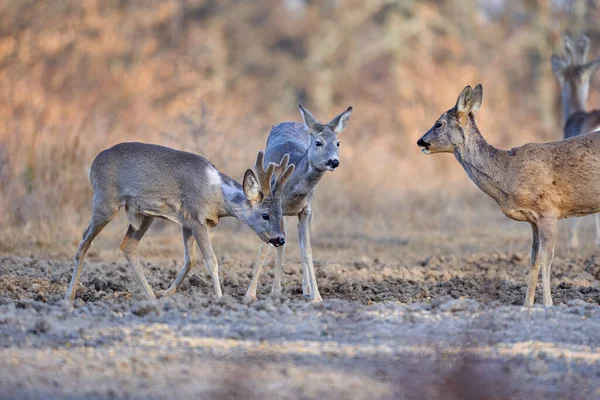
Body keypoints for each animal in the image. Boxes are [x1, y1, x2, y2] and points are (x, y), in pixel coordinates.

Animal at [62, 144, 292, 304]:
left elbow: (190, 259)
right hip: (105, 202)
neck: (216, 194)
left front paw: (167, 293)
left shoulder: (186, 222)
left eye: (280, 213)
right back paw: (69, 297)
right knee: (84, 242)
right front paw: (220, 298)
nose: (280, 239)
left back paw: (151, 296)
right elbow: (211, 260)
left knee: (127, 246)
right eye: (265, 215)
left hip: (144, 215)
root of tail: (92, 166)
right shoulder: (197, 218)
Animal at [241, 104, 352, 302]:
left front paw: (317, 296)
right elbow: (265, 247)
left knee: (297, 243)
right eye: (318, 143)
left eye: (338, 143)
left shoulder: (307, 210)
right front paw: (250, 294)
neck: (293, 192)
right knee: (281, 242)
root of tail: (290, 121)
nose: (334, 161)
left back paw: (305, 288)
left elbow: (307, 249)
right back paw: (276, 289)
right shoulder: (273, 206)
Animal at [418, 83, 600, 304]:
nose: (421, 141)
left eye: (439, 124)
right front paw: (527, 304)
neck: (507, 174)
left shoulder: (549, 210)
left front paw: (548, 303)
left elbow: (546, 257)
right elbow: (533, 258)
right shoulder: (533, 219)